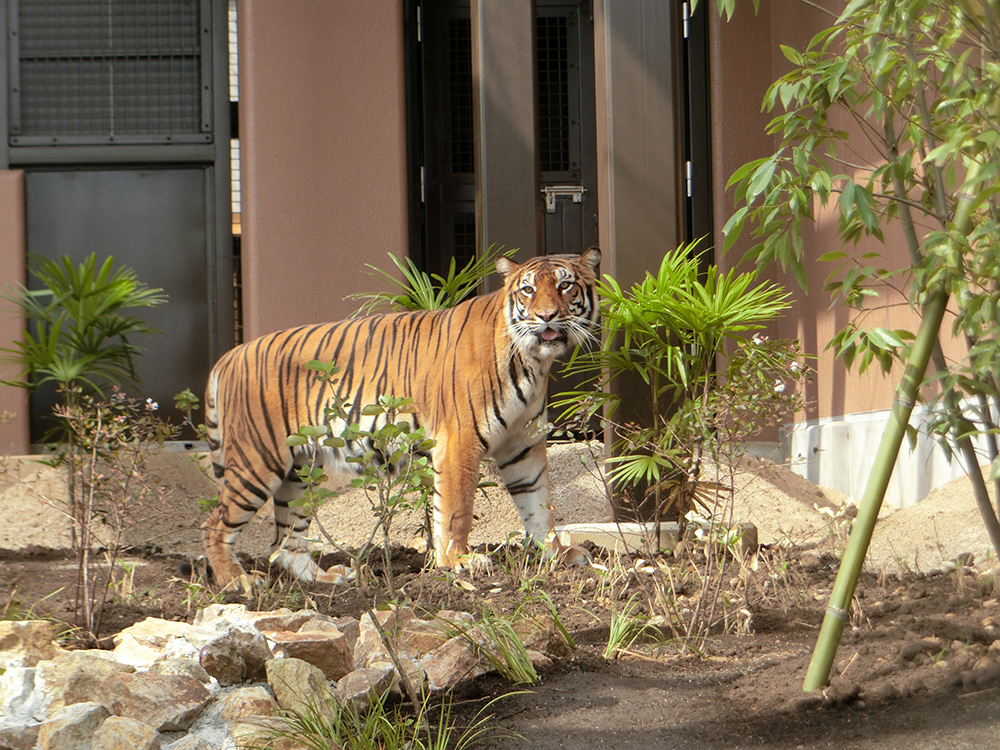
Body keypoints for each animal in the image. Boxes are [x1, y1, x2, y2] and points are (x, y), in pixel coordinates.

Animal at [199, 247, 596, 588]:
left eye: (565, 285)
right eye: (528, 290)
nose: (545, 316)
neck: (534, 363)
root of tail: (230, 354)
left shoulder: (523, 443)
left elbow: (538, 502)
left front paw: (557, 553)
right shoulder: (459, 441)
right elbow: (456, 509)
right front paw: (458, 561)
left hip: (300, 469)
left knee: (284, 543)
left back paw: (328, 577)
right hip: (258, 459)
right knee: (215, 525)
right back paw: (237, 580)